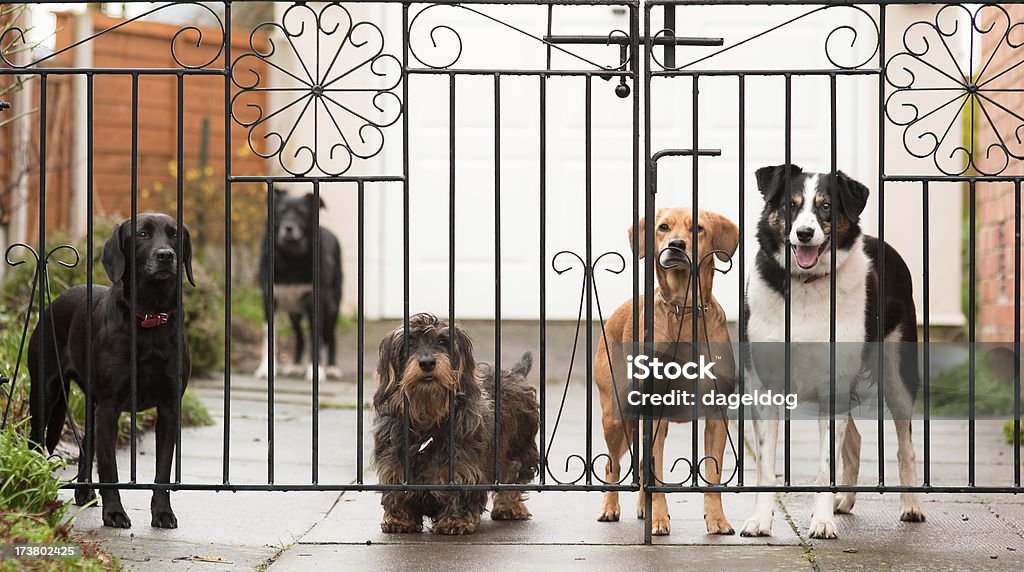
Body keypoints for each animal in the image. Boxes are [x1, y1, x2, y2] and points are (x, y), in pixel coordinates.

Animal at [28, 212, 193, 532]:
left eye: (175, 234)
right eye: (142, 234)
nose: (165, 256)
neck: (148, 317)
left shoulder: (169, 408)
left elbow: (163, 470)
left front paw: (162, 513)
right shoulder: (109, 407)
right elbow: (109, 468)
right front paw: (114, 513)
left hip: (90, 406)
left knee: (85, 446)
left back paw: (83, 491)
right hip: (45, 393)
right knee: (34, 440)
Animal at [253, 190, 342, 382]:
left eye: (302, 212)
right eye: (280, 211)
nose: (288, 228)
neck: (291, 258)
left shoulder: (315, 301)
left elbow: (316, 336)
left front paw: (316, 371)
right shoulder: (269, 299)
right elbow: (268, 334)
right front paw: (265, 369)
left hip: (332, 307)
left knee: (330, 336)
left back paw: (332, 367)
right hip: (293, 313)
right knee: (300, 336)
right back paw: (295, 365)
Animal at [372, 315, 540, 536]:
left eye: (443, 341)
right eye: (409, 343)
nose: (427, 363)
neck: (429, 420)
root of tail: (515, 373)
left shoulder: (463, 470)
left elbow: (460, 495)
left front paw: (454, 521)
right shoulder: (394, 468)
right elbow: (397, 493)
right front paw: (399, 520)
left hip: (519, 448)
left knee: (513, 475)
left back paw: (509, 506)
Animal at [593, 206, 737, 536]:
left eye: (697, 228)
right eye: (663, 227)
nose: (676, 245)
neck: (684, 310)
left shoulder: (716, 416)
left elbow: (713, 473)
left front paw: (717, 518)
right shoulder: (654, 416)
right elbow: (655, 474)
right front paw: (659, 518)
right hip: (616, 417)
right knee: (612, 465)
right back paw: (610, 507)